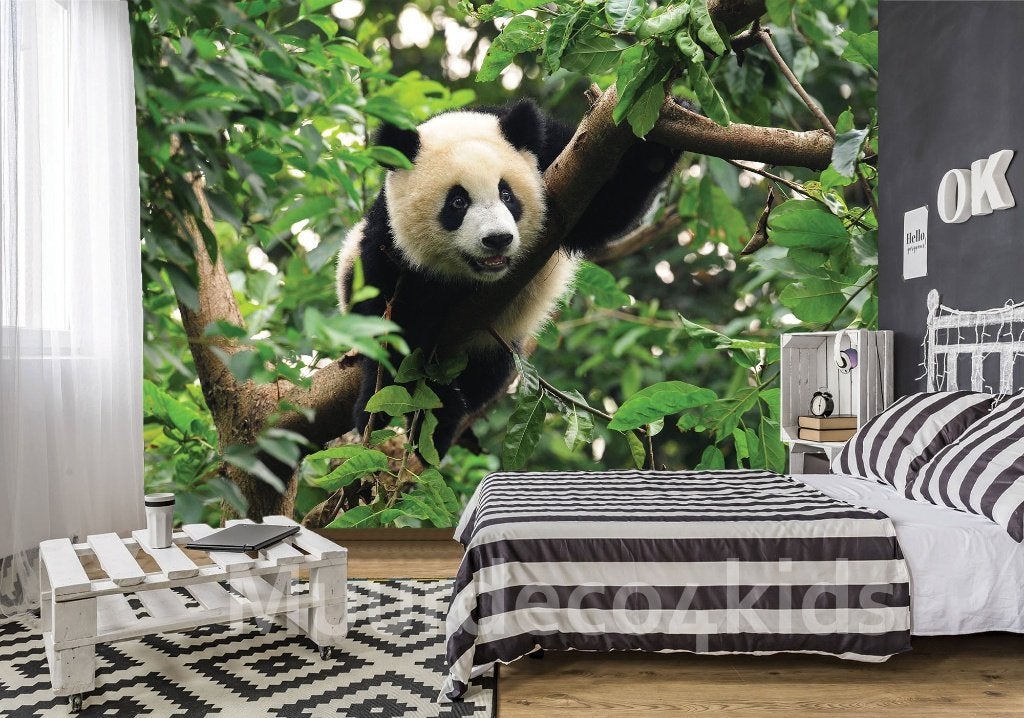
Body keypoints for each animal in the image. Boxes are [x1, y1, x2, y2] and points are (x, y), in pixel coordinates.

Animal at [336, 99, 681, 458]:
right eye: (457, 202)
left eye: (506, 194)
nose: (497, 239)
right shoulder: (389, 243)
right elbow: (392, 326)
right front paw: (394, 409)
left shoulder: (558, 158)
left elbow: (602, 210)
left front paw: (664, 137)